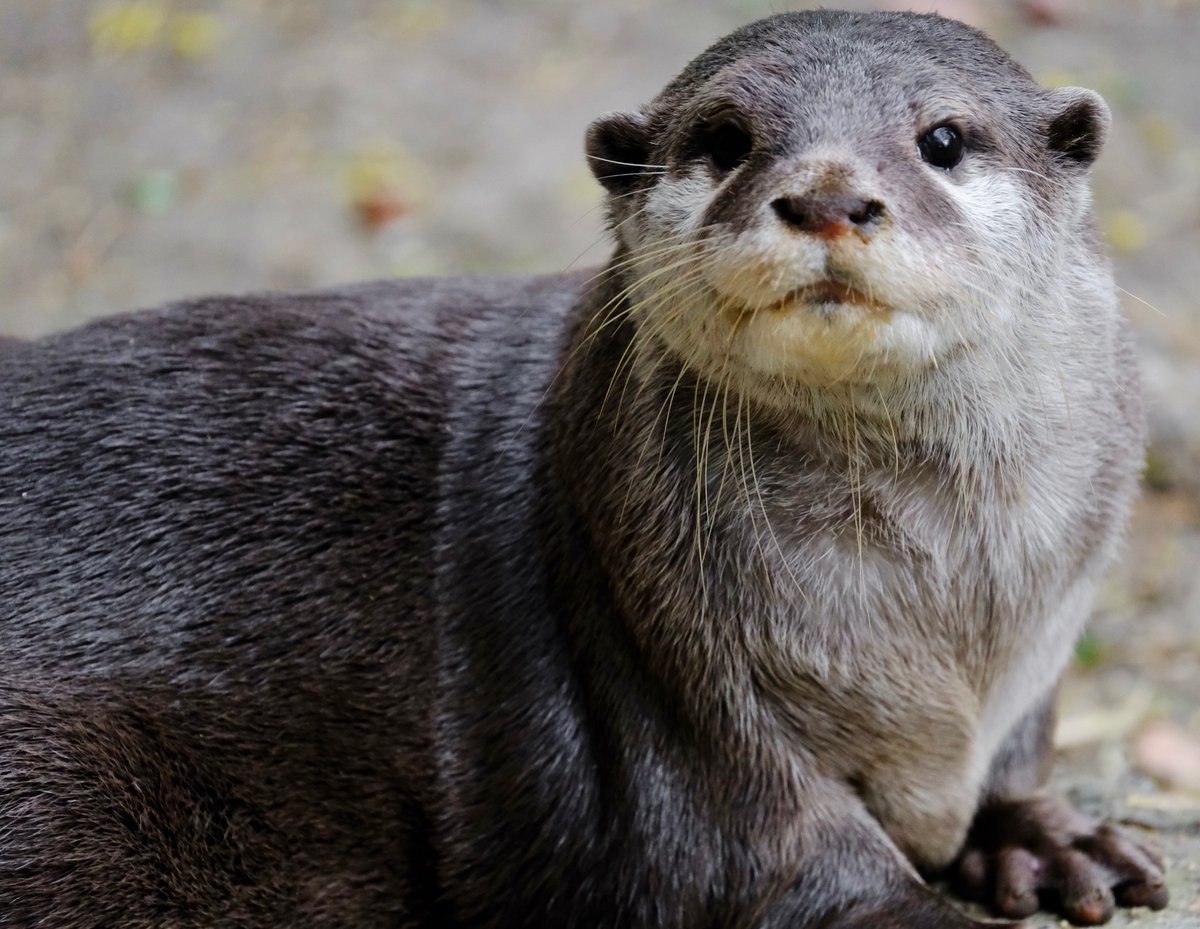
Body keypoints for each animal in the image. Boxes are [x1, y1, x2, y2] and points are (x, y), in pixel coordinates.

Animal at [0, 9, 1166, 929]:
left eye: (943, 138)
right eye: (727, 139)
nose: (829, 195)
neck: (941, 632)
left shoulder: (1036, 655)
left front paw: (1048, 836)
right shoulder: (689, 718)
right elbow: (787, 868)